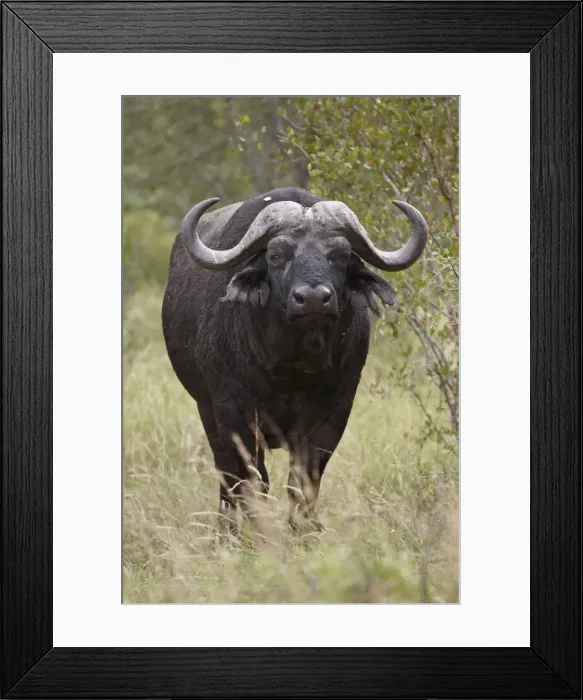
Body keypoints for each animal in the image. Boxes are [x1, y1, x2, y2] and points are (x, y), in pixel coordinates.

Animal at [161, 187, 428, 534]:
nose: (313, 299)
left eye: (341, 255)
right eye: (276, 255)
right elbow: (252, 479)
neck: (292, 367)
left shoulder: (333, 413)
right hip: (206, 409)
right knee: (227, 475)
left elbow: (304, 482)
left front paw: (303, 531)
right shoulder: (231, 412)